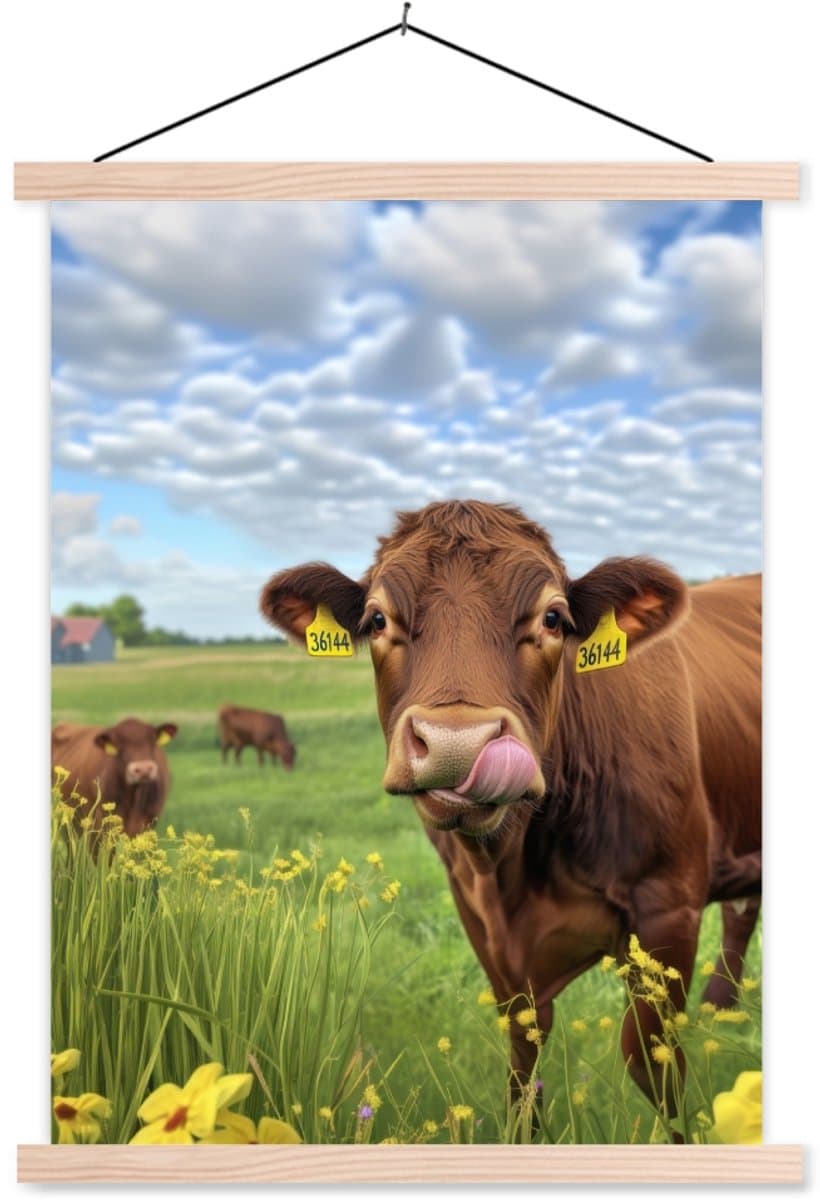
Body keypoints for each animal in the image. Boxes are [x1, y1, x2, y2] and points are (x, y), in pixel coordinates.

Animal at [259, 500, 761, 1123]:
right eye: (376, 620)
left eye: (554, 619)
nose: (457, 744)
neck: (515, 866)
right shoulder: (480, 916)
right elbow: (524, 1053)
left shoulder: (668, 904)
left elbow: (652, 1059)